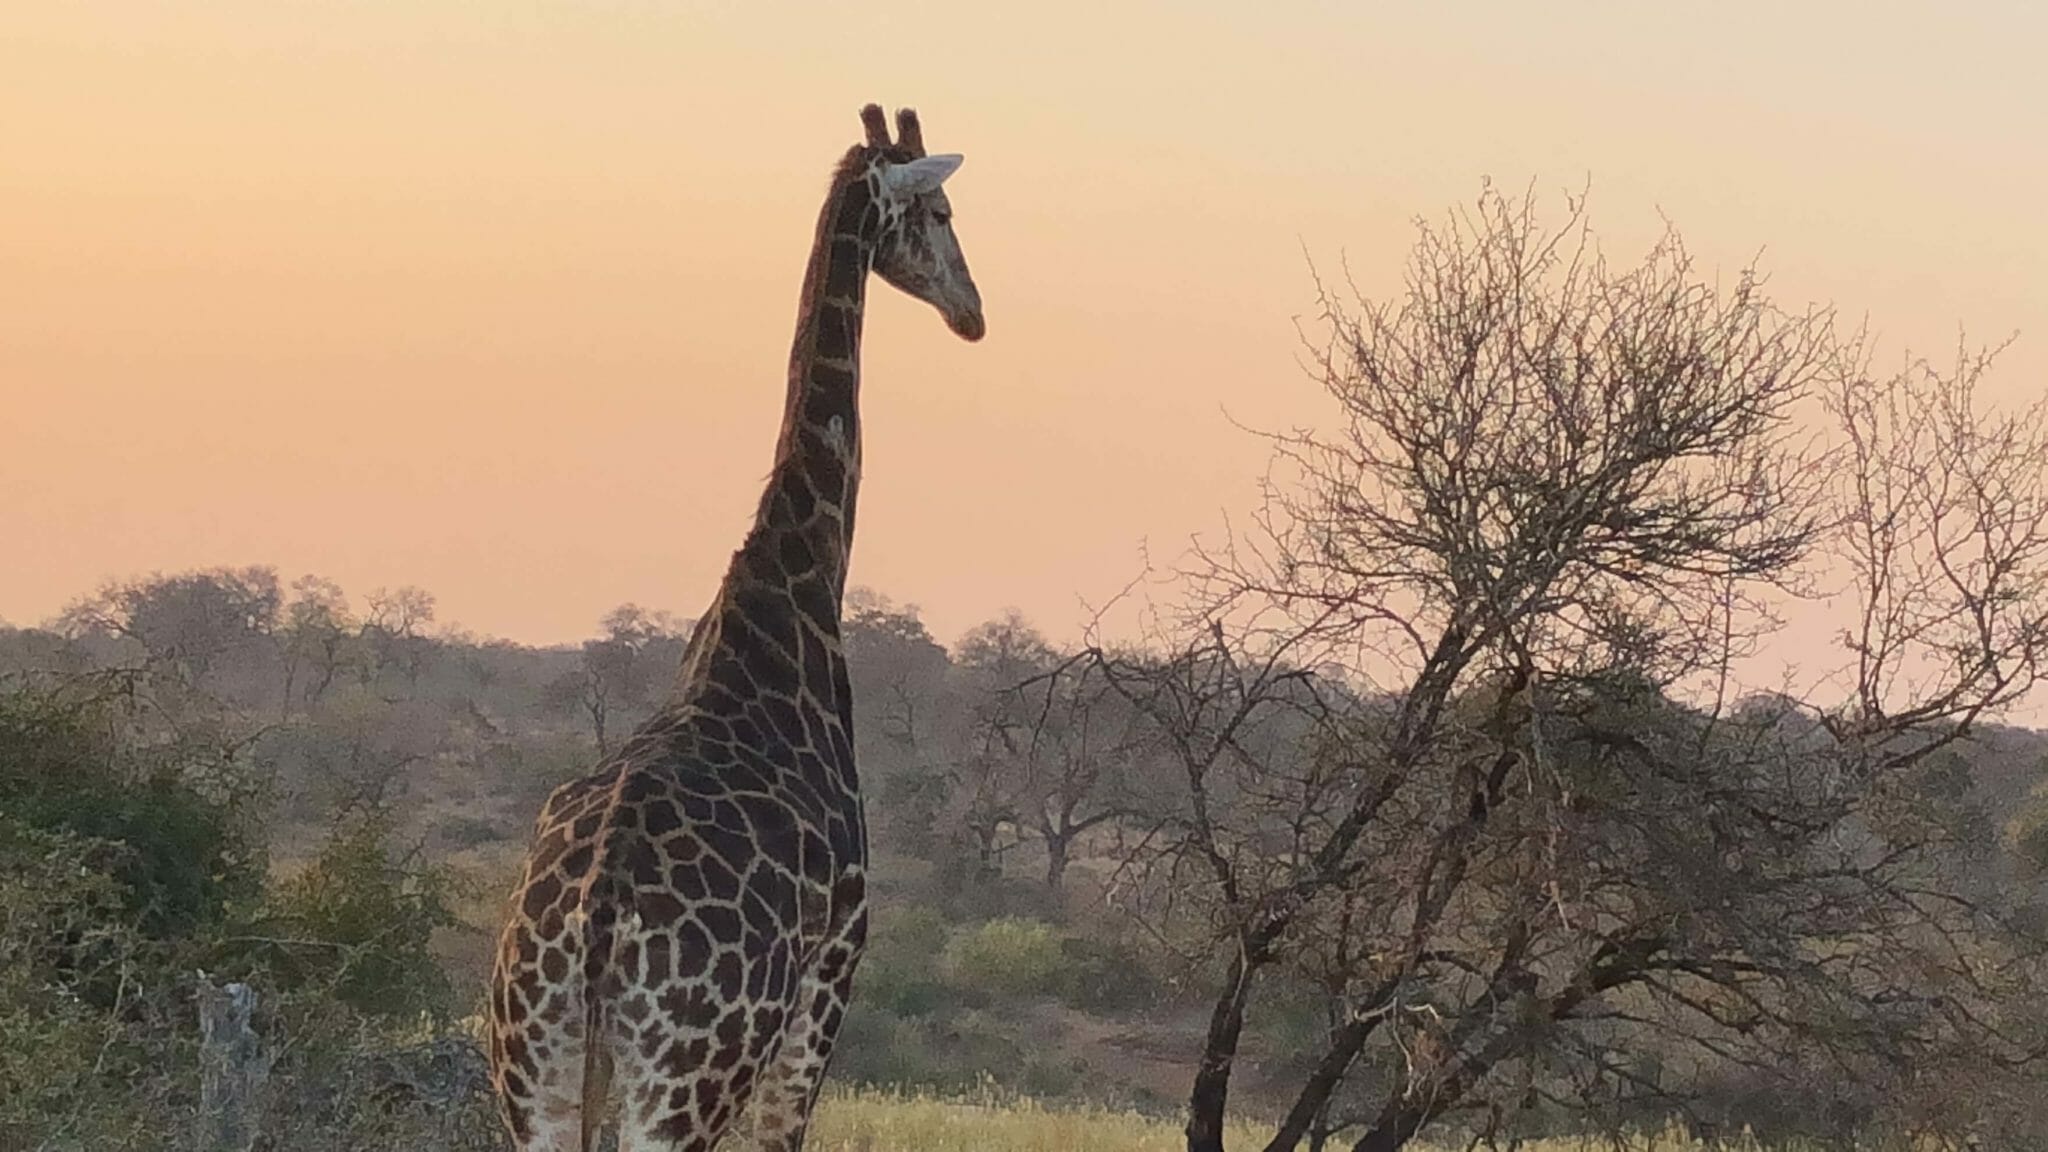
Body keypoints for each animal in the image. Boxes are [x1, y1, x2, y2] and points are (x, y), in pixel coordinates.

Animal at [487, 103, 983, 1139]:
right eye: (943, 212)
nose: (973, 313)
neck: (794, 585)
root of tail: (596, 918)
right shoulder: (833, 971)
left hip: (532, 1074)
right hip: (686, 1080)